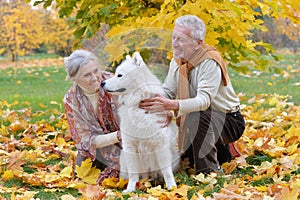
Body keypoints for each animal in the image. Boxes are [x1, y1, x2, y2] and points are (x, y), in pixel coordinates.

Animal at [103, 51, 178, 192]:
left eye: (119, 75)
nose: (102, 83)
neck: (138, 104)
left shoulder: (160, 146)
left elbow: (166, 171)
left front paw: (172, 187)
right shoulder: (130, 147)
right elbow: (133, 174)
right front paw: (130, 189)